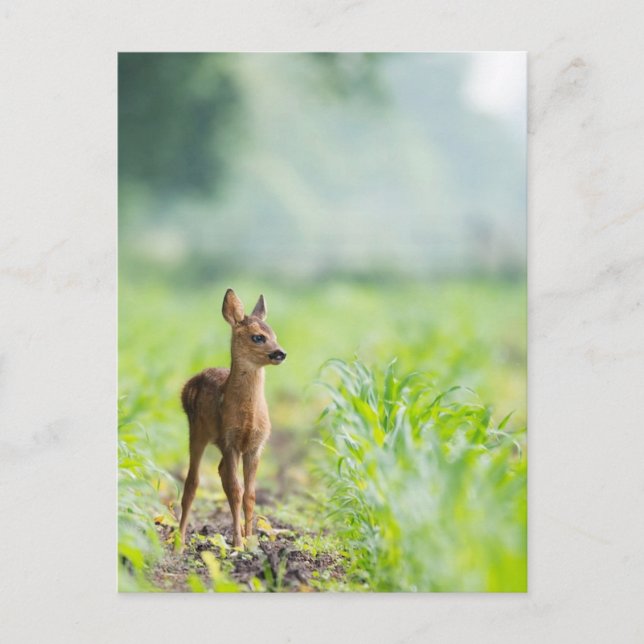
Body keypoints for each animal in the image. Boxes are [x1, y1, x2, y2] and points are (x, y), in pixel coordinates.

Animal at [178, 289, 286, 549]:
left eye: (274, 334)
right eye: (258, 337)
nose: (280, 353)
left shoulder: (255, 446)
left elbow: (250, 494)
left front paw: (251, 540)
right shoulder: (230, 442)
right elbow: (236, 491)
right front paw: (238, 543)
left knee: (220, 474)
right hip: (197, 432)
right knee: (192, 482)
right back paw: (179, 541)